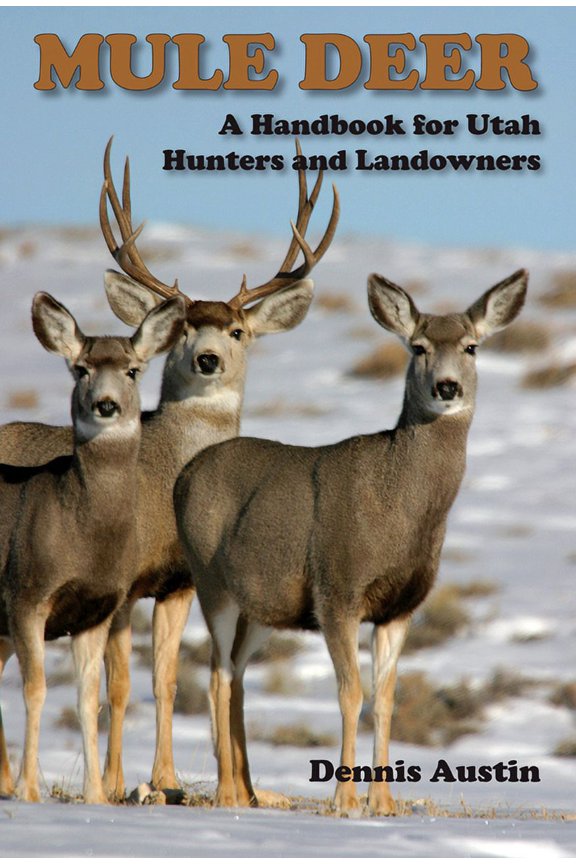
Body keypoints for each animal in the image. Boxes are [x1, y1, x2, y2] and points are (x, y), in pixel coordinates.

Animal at [0, 291, 186, 804]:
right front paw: (30, 790)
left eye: (133, 370)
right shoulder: (26, 593)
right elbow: (36, 690)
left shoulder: (96, 609)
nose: (105, 404)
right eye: (81, 368)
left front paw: (97, 796)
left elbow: (89, 699)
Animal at [173, 268, 528, 815]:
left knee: (233, 672)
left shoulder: (400, 606)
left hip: (262, 608)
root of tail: (184, 474)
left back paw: (247, 792)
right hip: (211, 581)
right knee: (218, 675)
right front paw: (344, 799)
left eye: (471, 346)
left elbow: (385, 698)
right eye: (419, 346)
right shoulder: (336, 589)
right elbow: (350, 693)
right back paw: (228, 793)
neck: (399, 510)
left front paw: (383, 802)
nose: (446, 386)